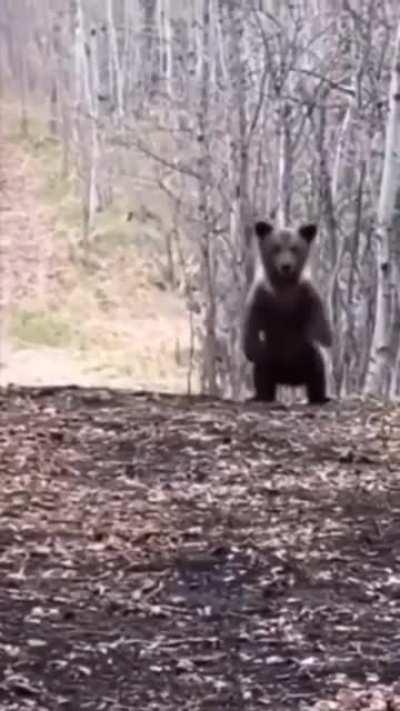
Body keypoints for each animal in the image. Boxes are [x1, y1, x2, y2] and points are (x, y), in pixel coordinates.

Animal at [242, 220, 332, 404]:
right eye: (276, 248)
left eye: (294, 248)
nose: (286, 266)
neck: (283, 287)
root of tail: (288, 379)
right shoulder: (262, 295)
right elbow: (252, 325)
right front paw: (250, 352)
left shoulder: (305, 293)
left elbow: (319, 323)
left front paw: (322, 337)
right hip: (271, 357)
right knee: (262, 374)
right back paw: (260, 397)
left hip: (306, 357)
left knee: (317, 373)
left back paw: (320, 397)